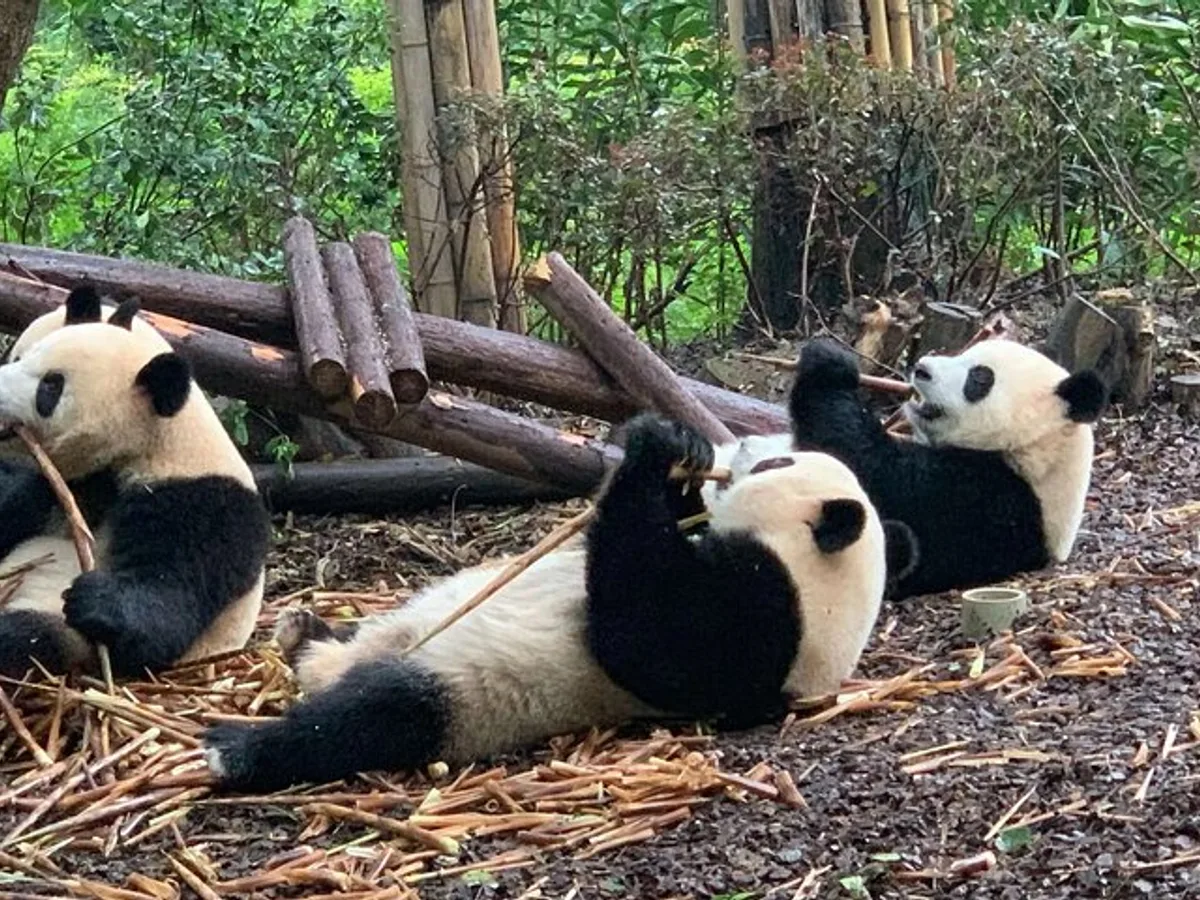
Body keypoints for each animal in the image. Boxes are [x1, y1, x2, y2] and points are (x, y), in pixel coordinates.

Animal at [0, 286, 272, 679]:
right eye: (22, 356)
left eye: (51, 384)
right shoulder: (62, 484)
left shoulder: (202, 505)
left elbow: (167, 608)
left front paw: (94, 599)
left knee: (28, 636)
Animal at [204, 412, 914, 792]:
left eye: (776, 465)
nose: (739, 448)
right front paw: (681, 451)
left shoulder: (761, 623)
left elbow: (643, 632)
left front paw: (653, 450)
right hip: (406, 626)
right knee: (356, 649)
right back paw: (303, 631)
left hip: (463, 692)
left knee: (370, 718)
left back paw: (238, 748)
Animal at [708, 337, 1107, 599]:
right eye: (965, 354)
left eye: (979, 378)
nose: (923, 369)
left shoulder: (988, 501)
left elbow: (869, 464)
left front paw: (831, 363)